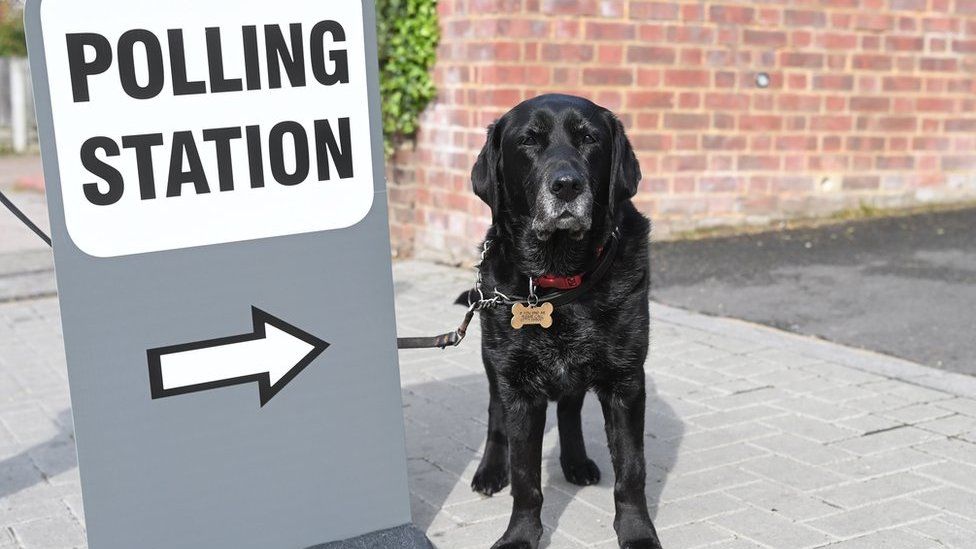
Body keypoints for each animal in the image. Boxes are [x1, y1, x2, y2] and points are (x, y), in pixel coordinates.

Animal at [462, 95, 660, 548]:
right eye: (528, 141)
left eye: (589, 139)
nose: (567, 185)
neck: (559, 280)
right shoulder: (517, 386)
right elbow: (525, 478)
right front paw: (519, 535)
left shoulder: (625, 382)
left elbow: (632, 471)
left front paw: (638, 533)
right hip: (493, 365)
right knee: (495, 416)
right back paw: (490, 470)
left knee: (569, 410)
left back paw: (576, 461)